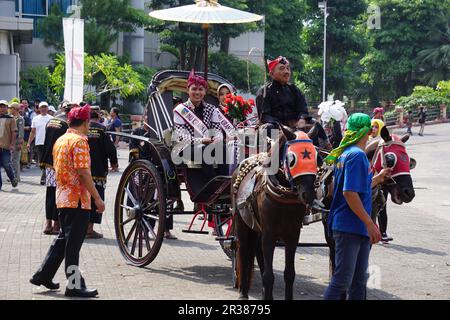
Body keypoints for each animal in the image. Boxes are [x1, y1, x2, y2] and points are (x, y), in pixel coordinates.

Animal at [234, 125, 318, 300]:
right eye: (292, 159)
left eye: (316, 157)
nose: (308, 195)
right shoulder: (269, 234)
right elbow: (268, 275)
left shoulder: (293, 235)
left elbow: (289, 274)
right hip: (241, 223)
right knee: (244, 252)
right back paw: (243, 293)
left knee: (257, 252)